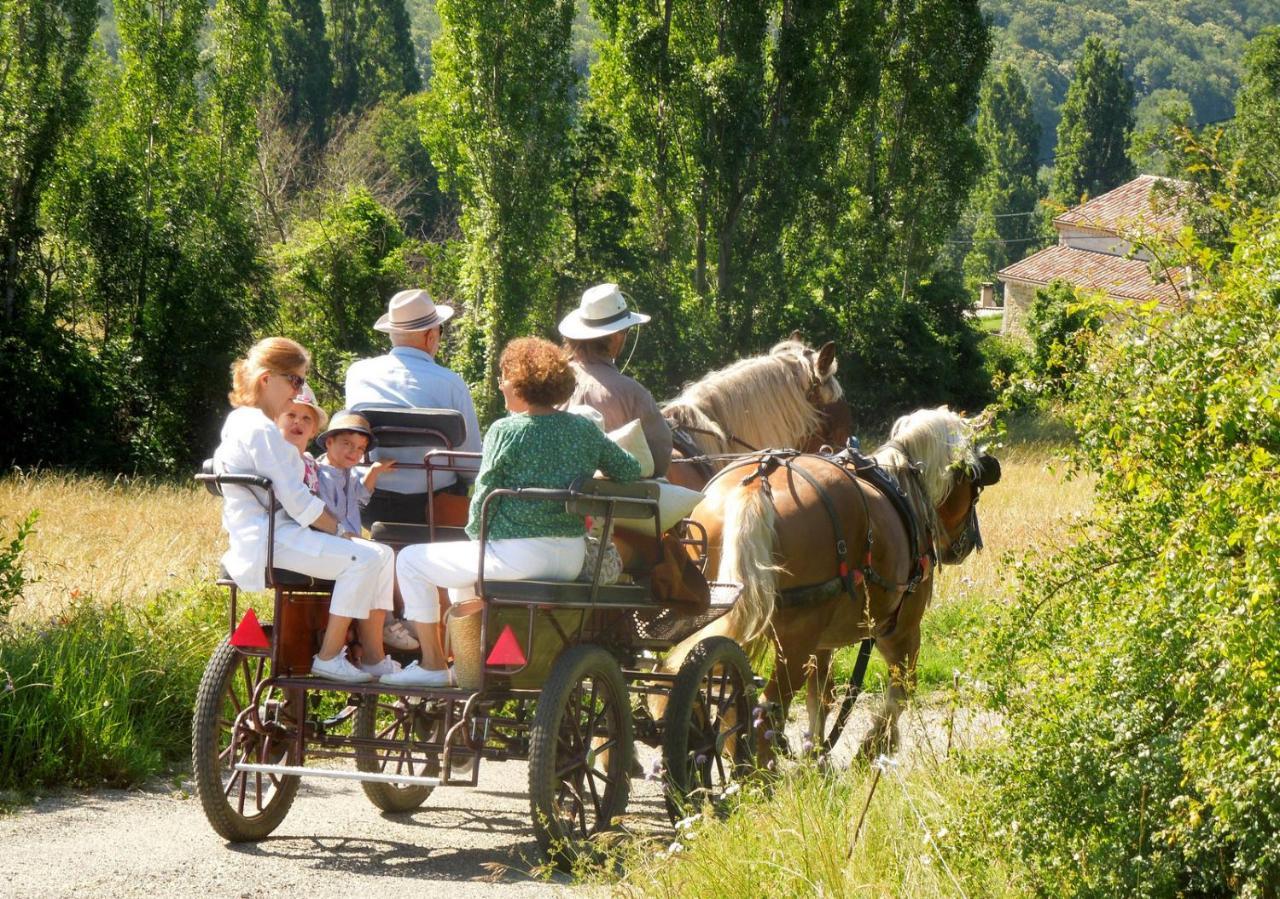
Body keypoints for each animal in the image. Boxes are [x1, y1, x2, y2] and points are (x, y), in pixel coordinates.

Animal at [665, 407, 1003, 758]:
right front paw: (874, 747)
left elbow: (821, 698)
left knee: (728, 693)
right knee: (768, 708)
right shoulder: (899, 627)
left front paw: (815, 755)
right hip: (795, 639)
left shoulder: (822, 643)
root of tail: (757, 482)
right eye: (976, 485)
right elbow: (902, 688)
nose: (965, 546)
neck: (905, 489)